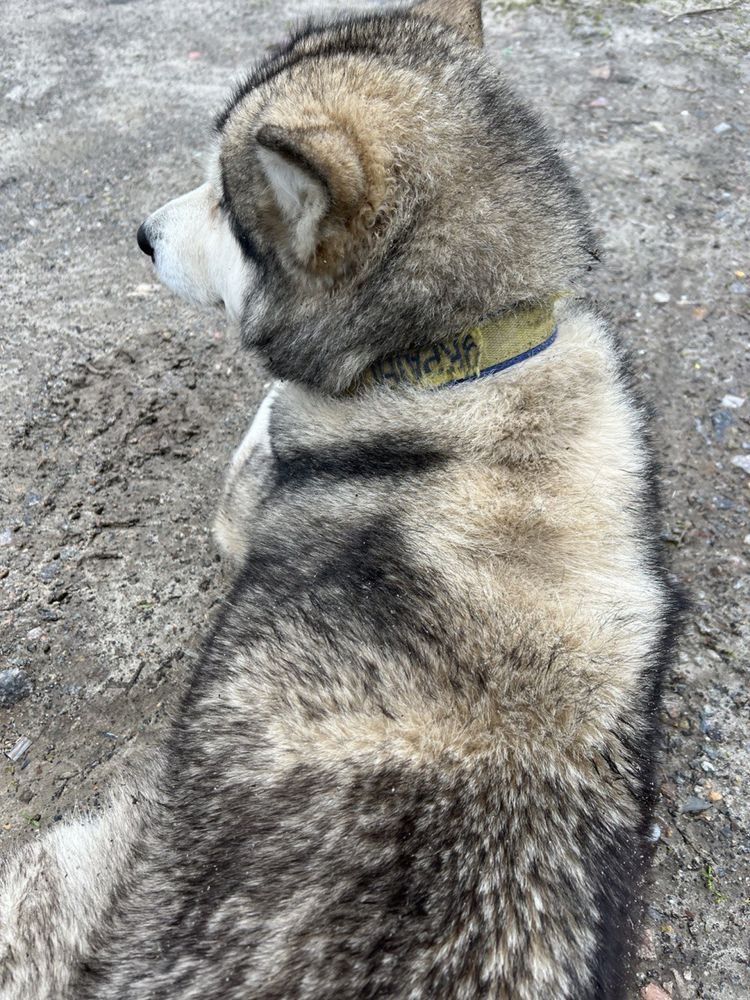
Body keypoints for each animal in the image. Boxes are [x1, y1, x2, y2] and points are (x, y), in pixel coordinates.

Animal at [0, 1, 680, 1000]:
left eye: (225, 202)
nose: (140, 233)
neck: (465, 355)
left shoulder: (250, 499)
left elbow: (266, 427)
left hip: (59, 870)